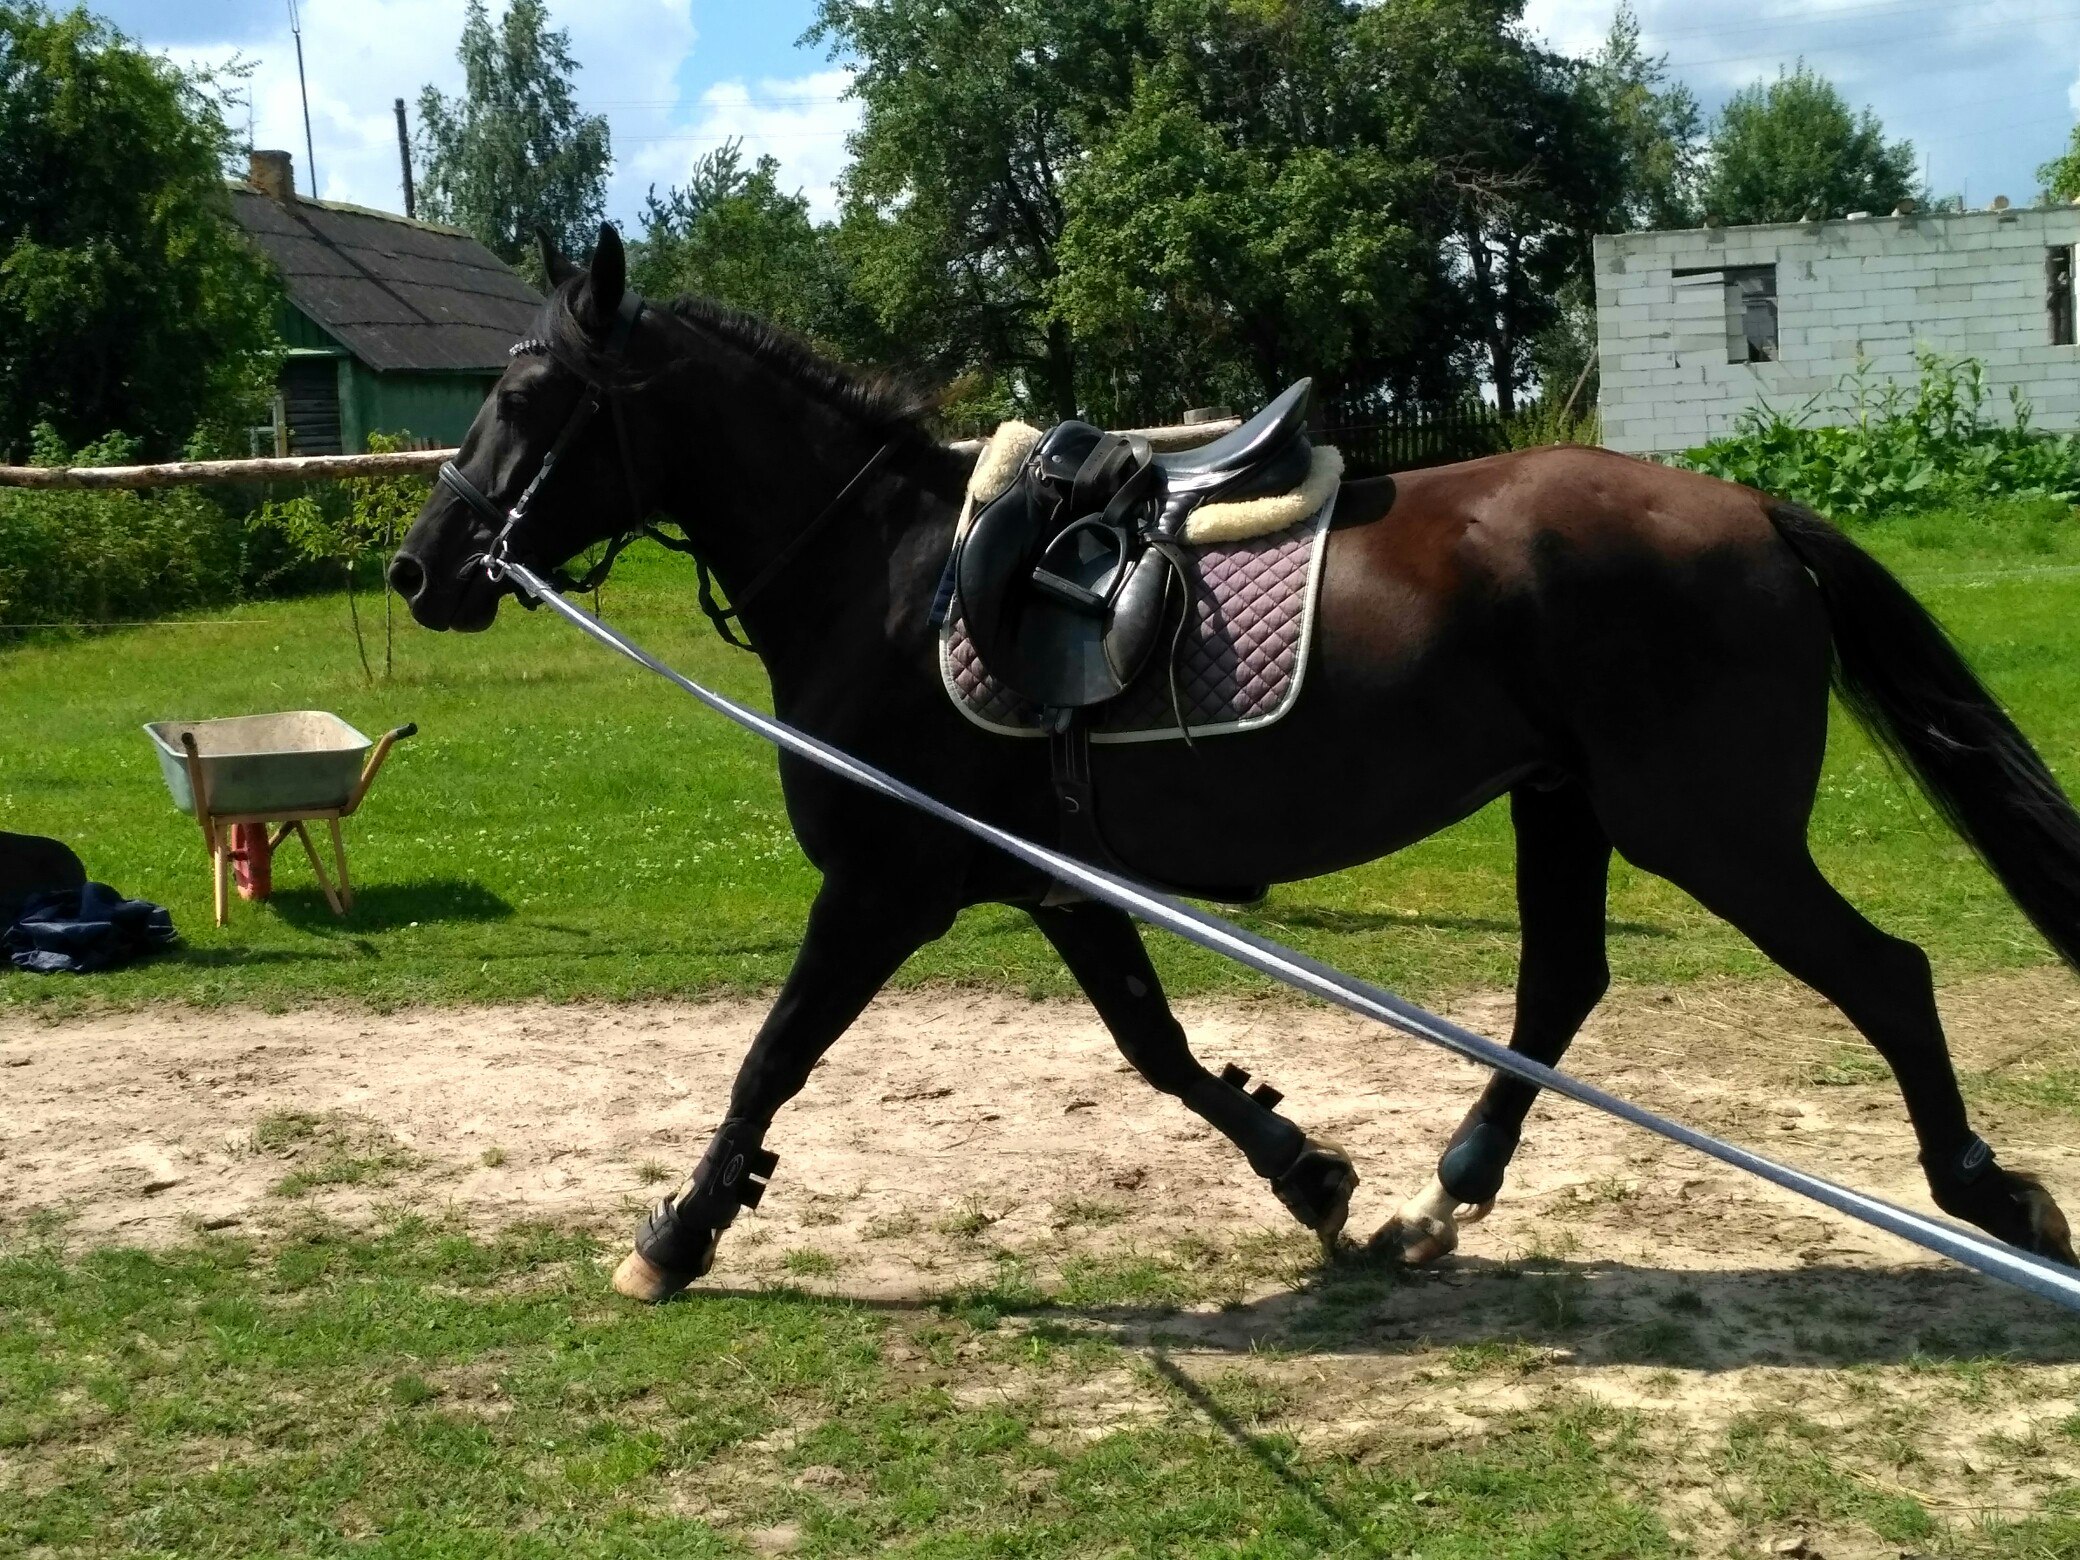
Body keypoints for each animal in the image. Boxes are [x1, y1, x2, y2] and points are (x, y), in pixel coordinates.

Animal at [390, 225, 2080, 1304]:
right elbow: (1157, 1050)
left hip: (1708, 828)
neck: (890, 581)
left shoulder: (883, 887)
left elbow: (771, 1057)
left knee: (1885, 976)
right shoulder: (1056, 888)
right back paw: (1438, 1198)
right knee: (1561, 987)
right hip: (1569, 806)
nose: (422, 567)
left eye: (526, 396)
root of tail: (1751, 513)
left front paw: (676, 1233)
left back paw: (1989, 1192)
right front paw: (1310, 1175)